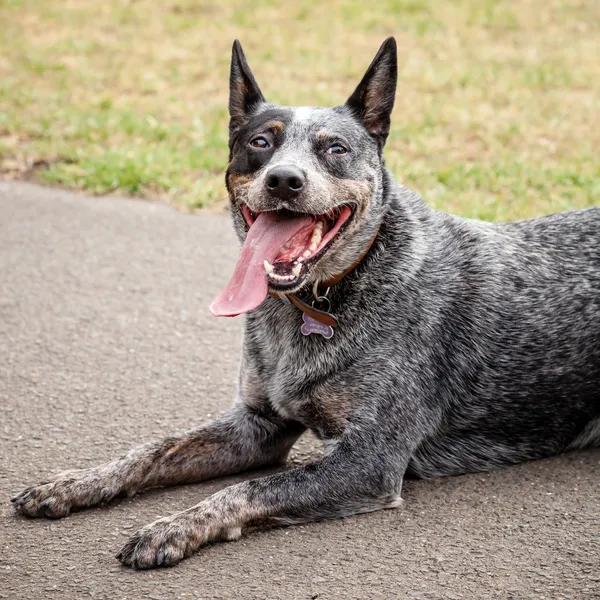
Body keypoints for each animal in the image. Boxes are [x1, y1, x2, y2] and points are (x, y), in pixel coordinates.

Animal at [10, 35, 600, 568]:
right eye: (260, 142)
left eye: (334, 148)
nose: (284, 179)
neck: (318, 302)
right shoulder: (258, 425)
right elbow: (154, 448)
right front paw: (77, 482)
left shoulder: (368, 460)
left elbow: (245, 491)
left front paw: (171, 527)